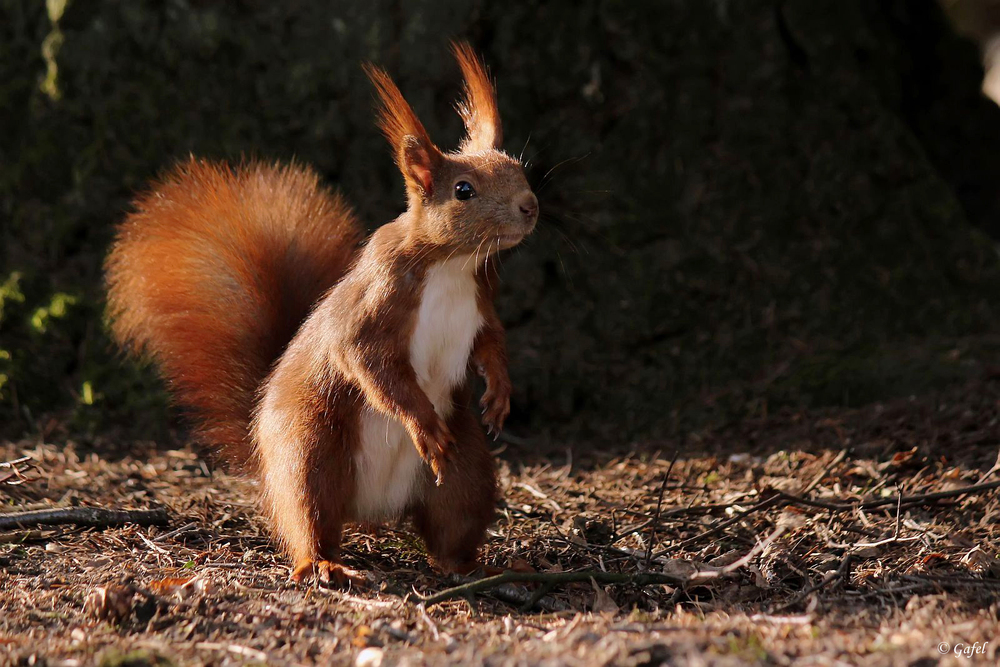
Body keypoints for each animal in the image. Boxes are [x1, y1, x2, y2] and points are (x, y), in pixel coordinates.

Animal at [105, 43, 536, 584]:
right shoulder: (376, 302)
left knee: (451, 524)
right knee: (310, 519)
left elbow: (492, 342)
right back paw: (326, 562)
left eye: (518, 168)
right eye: (463, 190)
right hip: (312, 451)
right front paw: (423, 424)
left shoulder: (480, 304)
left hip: (466, 473)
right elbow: (369, 362)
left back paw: (476, 565)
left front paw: (499, 394)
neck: (452, 264)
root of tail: (372, 509)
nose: (530, 205)